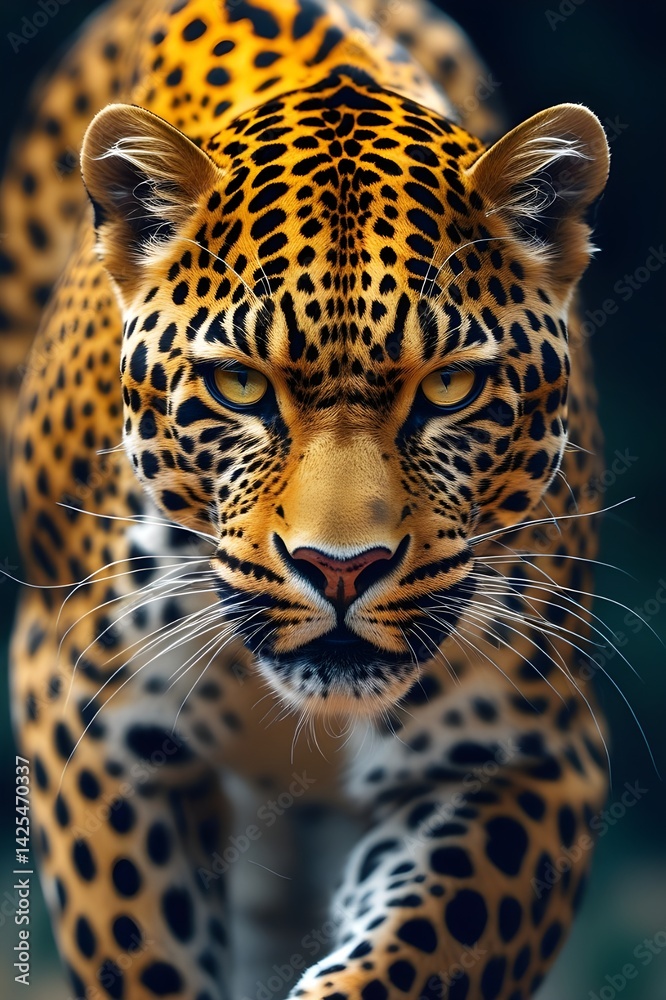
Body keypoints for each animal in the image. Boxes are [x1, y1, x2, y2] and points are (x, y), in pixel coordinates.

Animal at [1, 1, 611, 998]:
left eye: (449, 388)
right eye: (241, 386)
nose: (341, 570)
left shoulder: (529, 746)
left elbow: (417, 953)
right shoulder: (83, 708)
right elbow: (140, 947)